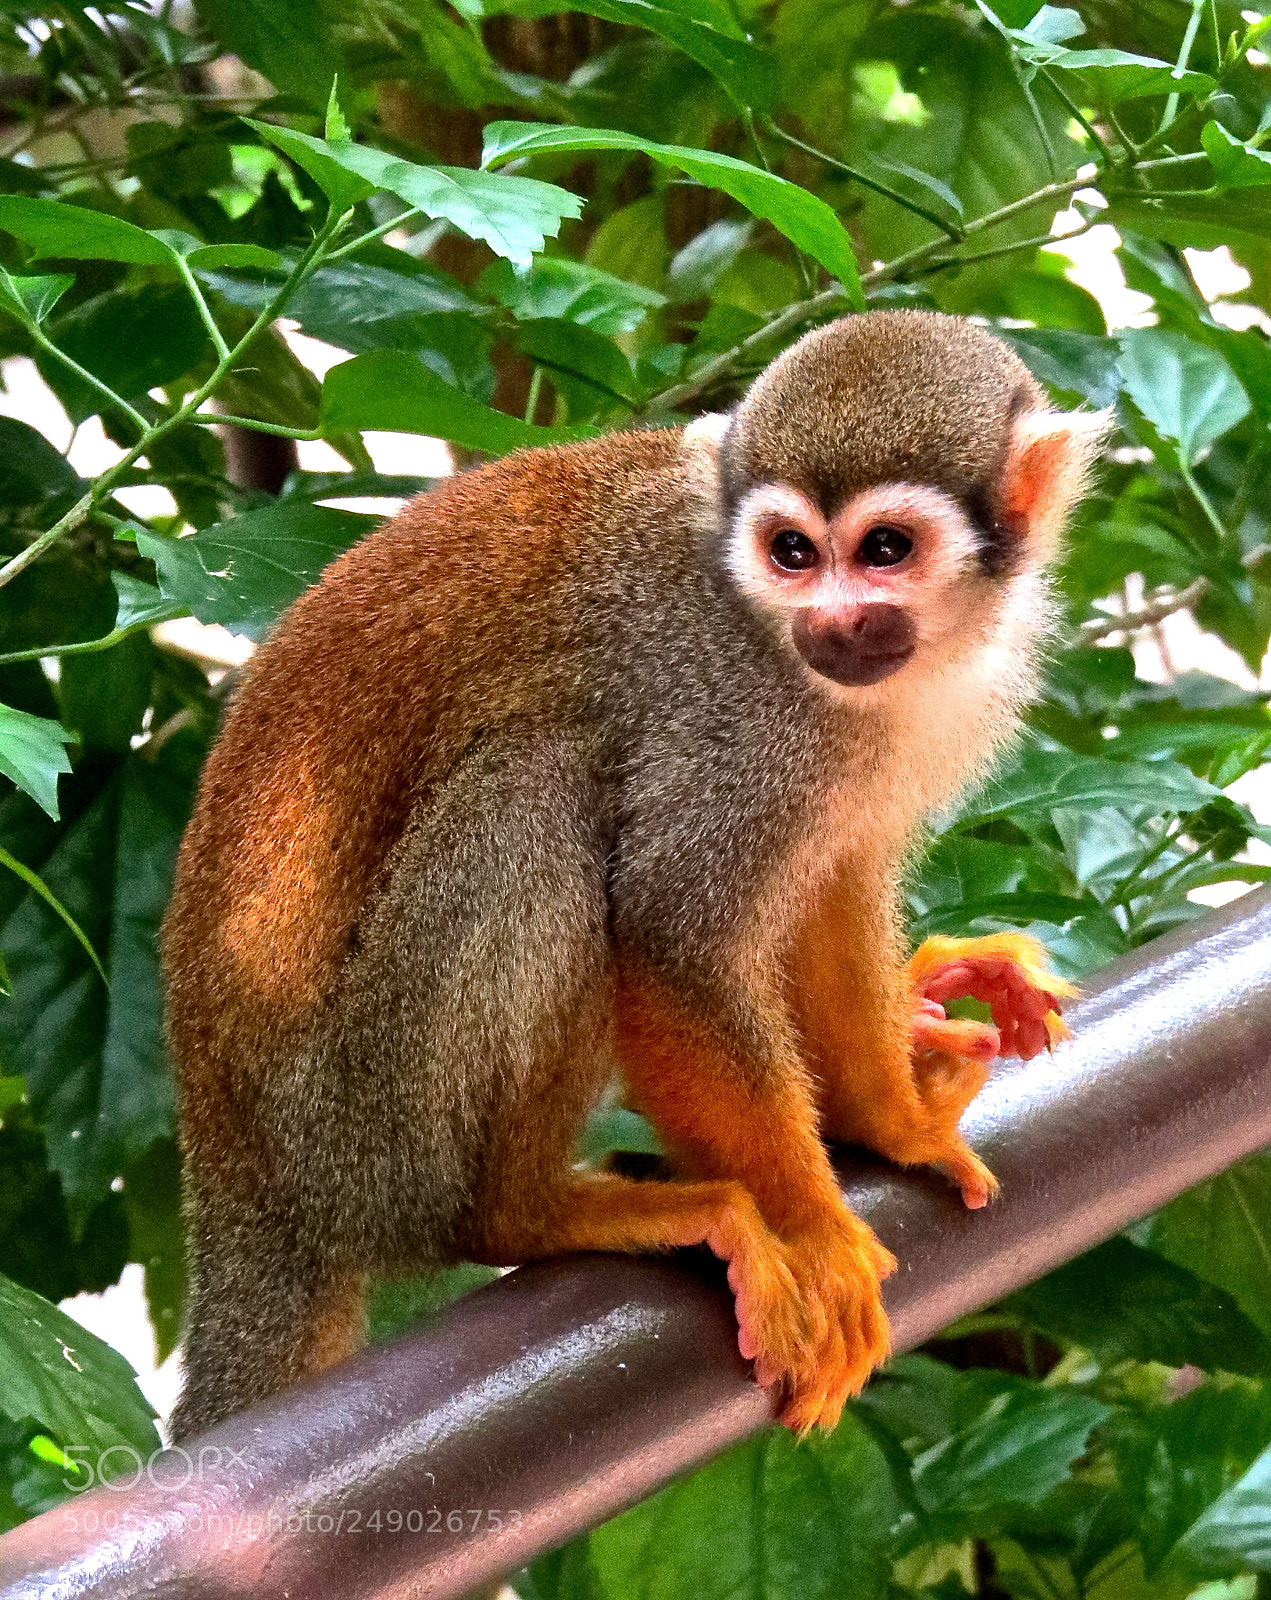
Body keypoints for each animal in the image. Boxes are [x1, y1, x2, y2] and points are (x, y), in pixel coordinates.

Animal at [162, 309, 1106, 1442]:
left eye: (884, 550)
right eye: (791, 552)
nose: (833, 623)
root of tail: (237, 1183)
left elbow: (832, 892)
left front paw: (893, 1121)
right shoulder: (730, 712)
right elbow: (668, 940)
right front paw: (813, 1227)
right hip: (356, 1119)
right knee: (536, 792)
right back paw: (529, 1212)